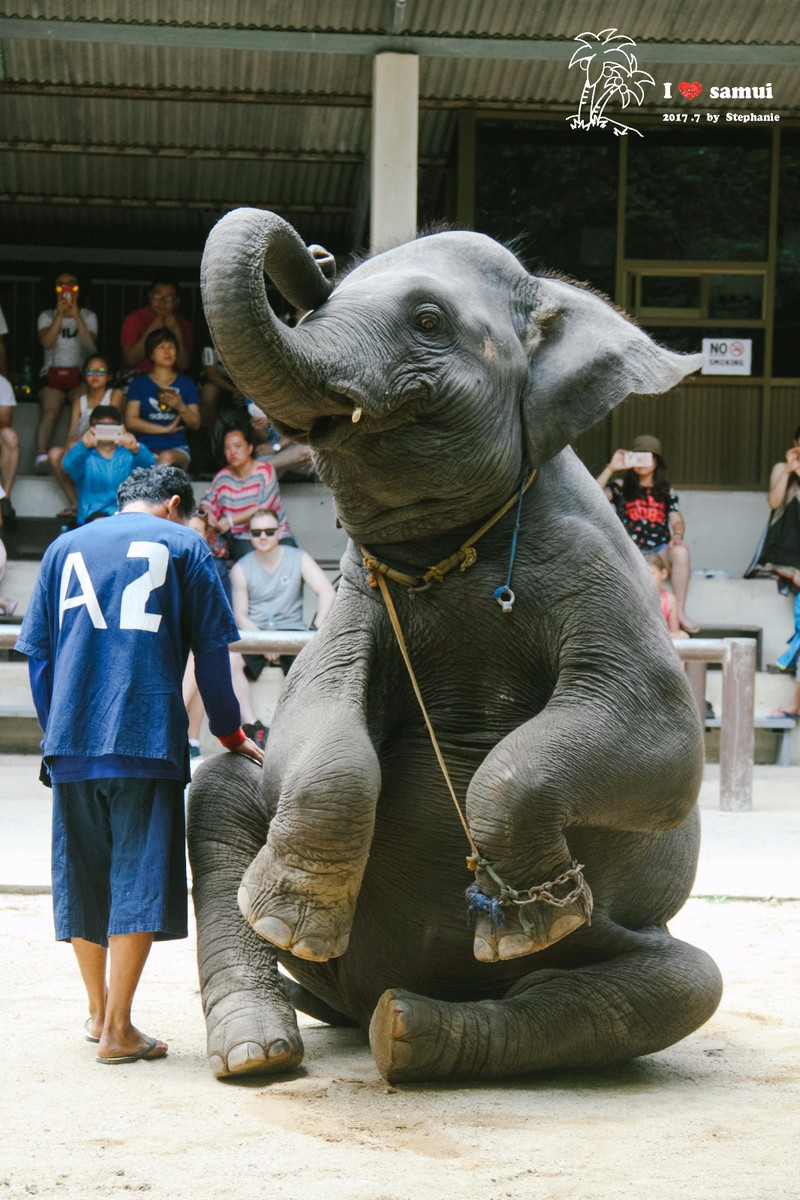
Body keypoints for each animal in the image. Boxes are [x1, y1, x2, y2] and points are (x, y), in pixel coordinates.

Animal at [189, 211, 724, 1084]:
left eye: (429, 321)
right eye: (321, 299)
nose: (317, 257)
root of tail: (359, 995)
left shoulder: (599, 572)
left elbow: (669, 749)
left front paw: (531, 924)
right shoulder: (354, 592)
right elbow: (315, 712)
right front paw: (286, 927)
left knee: (675, 987)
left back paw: (410, 1031)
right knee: (220, 793)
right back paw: (259, 1051)